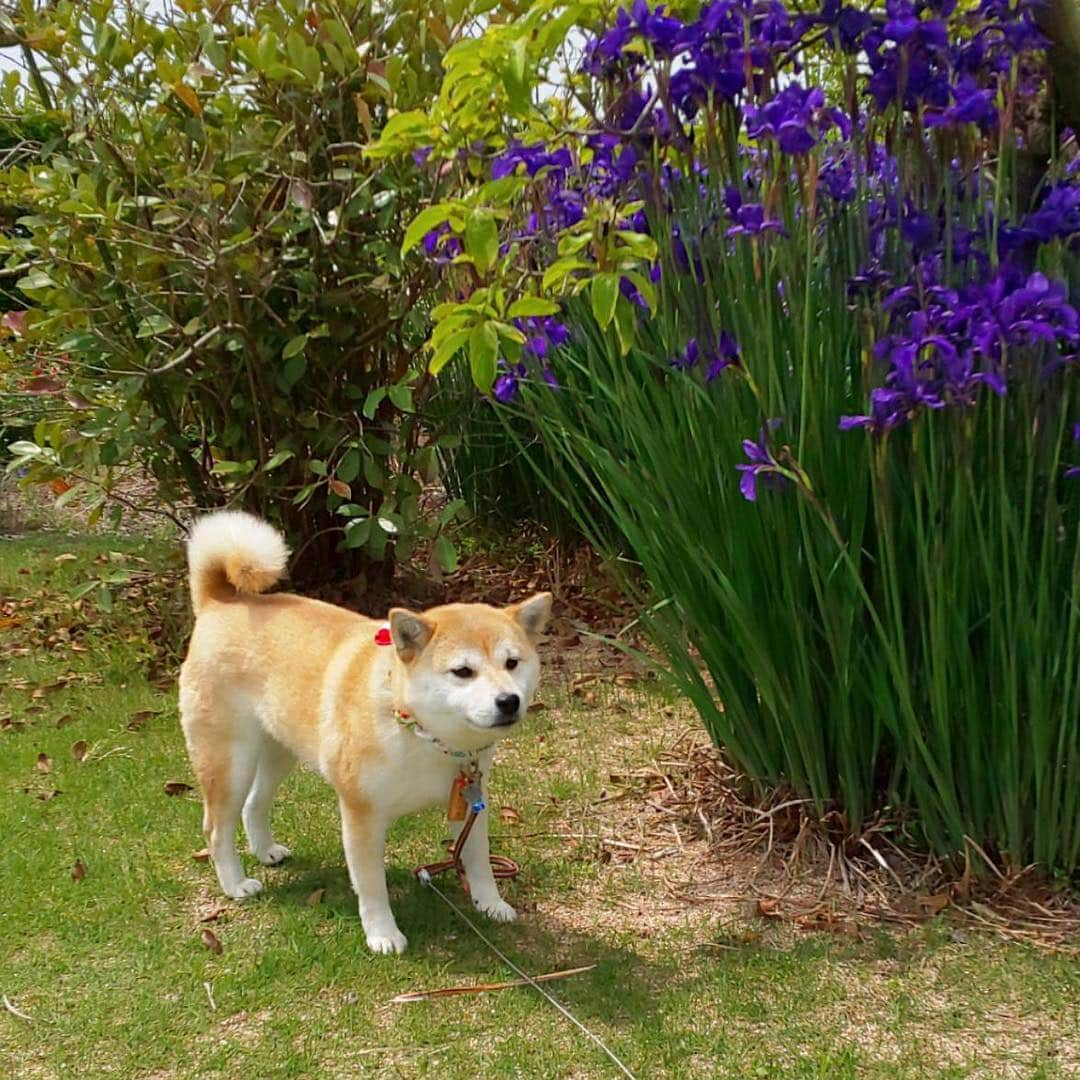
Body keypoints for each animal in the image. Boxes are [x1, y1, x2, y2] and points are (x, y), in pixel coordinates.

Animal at [178, 511, 552, 954]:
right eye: (463, 671)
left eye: (512, 663)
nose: (508, 701)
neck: (420, 733)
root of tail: (220, 601)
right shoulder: (361, 815)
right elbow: (372, 886)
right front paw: (383, 934)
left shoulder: (470, 800)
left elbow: (478, 861)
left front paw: (490, 904)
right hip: (229, 760)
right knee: (216, 828)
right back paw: (236, 884)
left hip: (279, 750)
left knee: (255, 803)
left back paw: (266, 850)